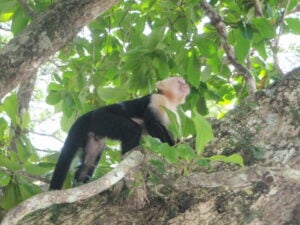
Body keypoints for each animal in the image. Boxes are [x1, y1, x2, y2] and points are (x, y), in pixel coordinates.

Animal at [49, 76, 190, 189]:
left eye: (183, 81)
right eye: (179, 81)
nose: (186, 85)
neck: (169, 100)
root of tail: (90, 113)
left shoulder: (174, 113)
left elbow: (174, 135)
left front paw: (181, 151)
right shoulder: (157, 100)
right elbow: (152, 124)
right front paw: (172, 147)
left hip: (95, 132)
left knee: (89, 161)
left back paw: (81, 182)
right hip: (103, 118)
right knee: (133, 129)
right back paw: (130, 153)